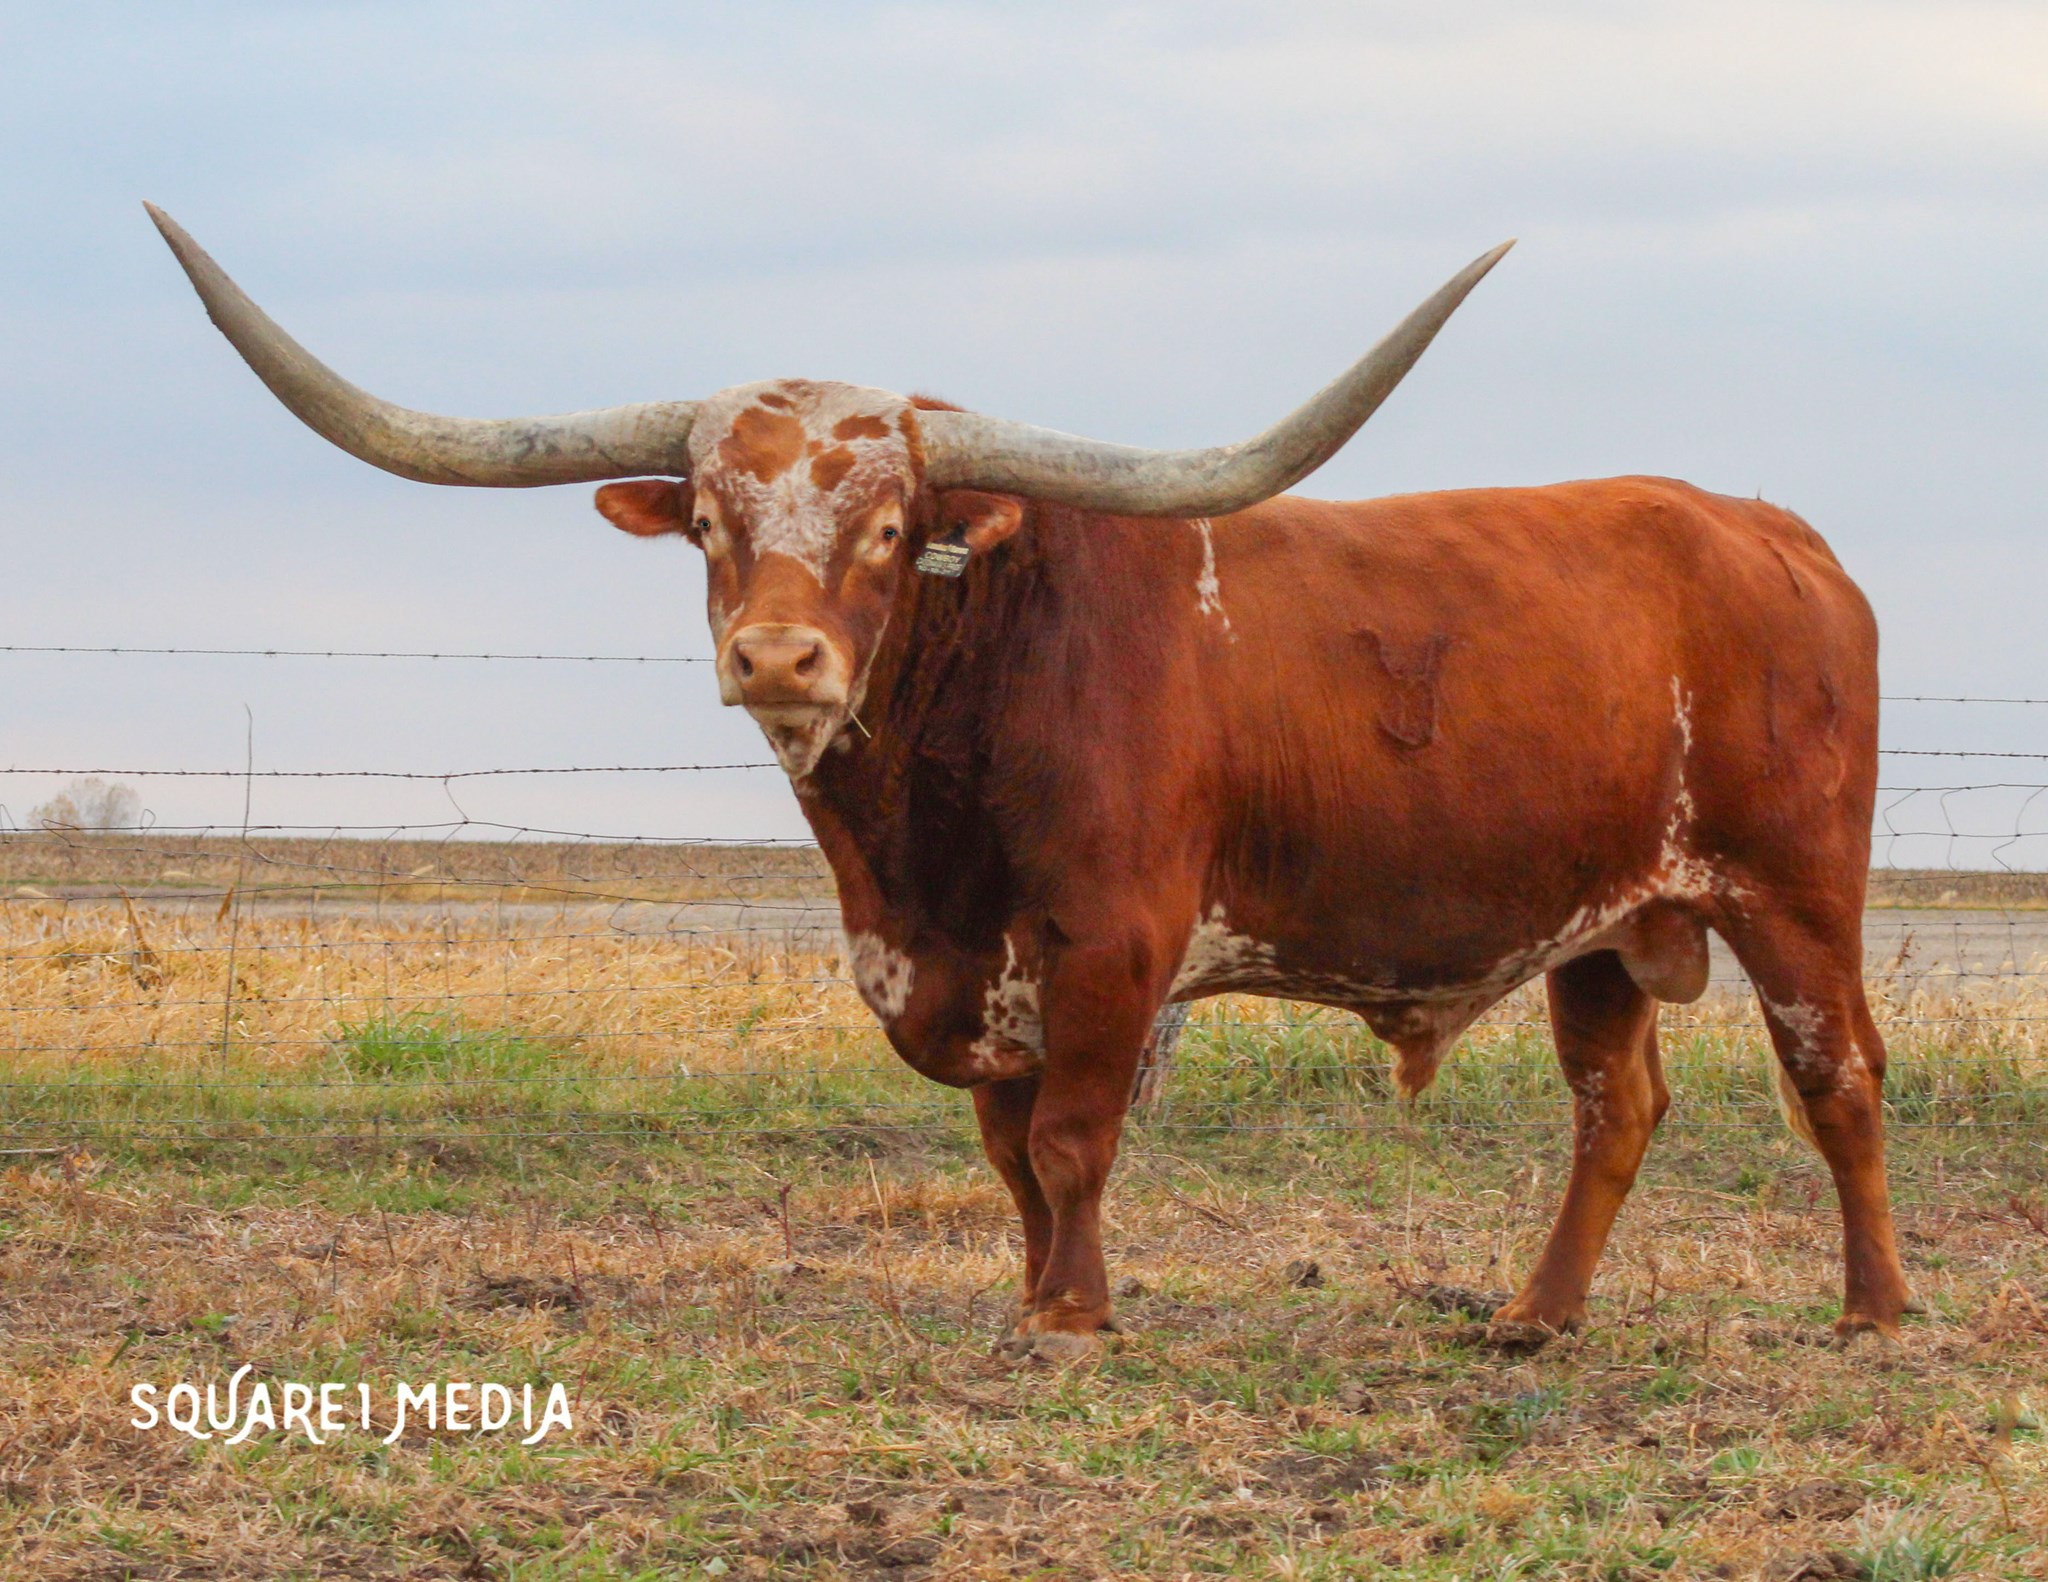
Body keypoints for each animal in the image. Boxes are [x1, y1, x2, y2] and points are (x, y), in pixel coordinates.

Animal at [148, 204, 1915, 1359]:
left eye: (886, 525)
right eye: (712, 520)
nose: (778, 656)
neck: (912, 853)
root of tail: (1771, 531)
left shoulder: (1114, 943)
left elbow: (1071, 1139)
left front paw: (1070, 1318)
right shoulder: (964, 966)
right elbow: (1007, 1156)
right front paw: (1033, 1294)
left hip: (1793, 889)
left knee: (1838, 1078)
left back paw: (1874, 1309)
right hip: (1605, 926)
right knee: (1618, 1103)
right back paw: (1536, 1318)